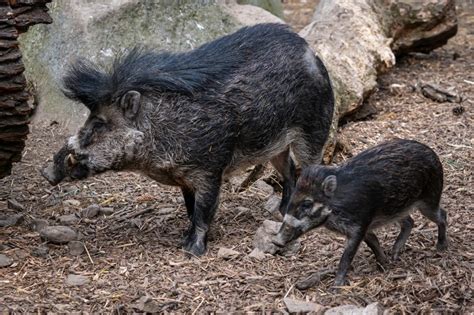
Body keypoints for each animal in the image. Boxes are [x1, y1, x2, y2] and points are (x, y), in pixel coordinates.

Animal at [42, 24, 336, 256]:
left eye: (99, 123)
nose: (46, 172)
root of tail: (311, 52)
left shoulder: (210, 171)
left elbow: (204, 211)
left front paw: (193, 251)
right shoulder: (184, 177)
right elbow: (190, 209)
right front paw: (183, 239)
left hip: (313, 132)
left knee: (308, 170)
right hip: (276, 146)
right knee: (288, 171)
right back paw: (281, 211)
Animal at [272, 139, 446, 288]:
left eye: (307, 203)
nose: (276, 241)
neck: (335, 209)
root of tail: (433, 154)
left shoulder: (359, 226)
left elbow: (347, 257)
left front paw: (336, 287)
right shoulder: (366, 227)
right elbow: (374, 242)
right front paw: (384, 264)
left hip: (429, 199)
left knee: (442, 215)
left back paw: (441, 248)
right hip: (398, 209)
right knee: (410, 222)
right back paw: (395, 254)